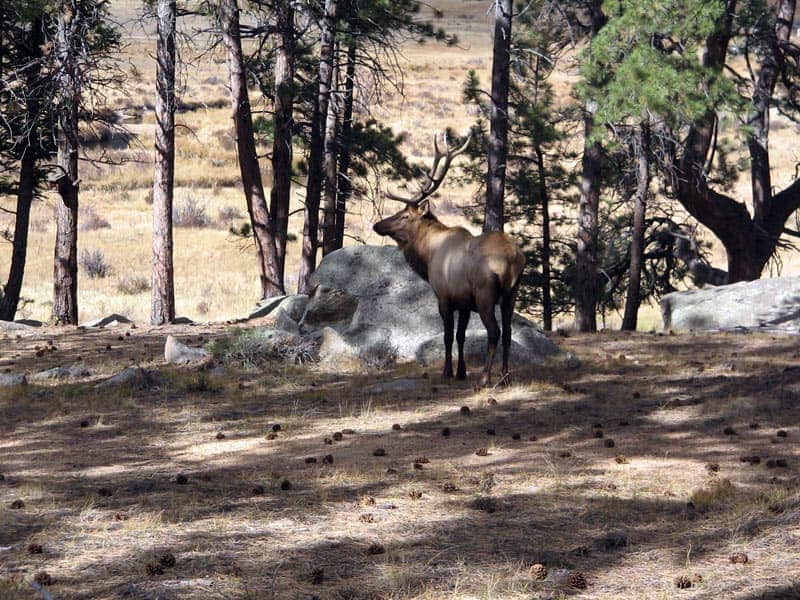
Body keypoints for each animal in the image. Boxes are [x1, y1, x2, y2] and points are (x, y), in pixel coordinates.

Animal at [374, 133, 528, 386]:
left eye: (404, 216)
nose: (377, 225)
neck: (427, 256)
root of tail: (514, 260)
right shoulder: (464, 302)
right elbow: (460, 335)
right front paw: (461, 372)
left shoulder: (444, 297)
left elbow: (447, 335)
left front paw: (447, 371)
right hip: (512, 294)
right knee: (508, 332)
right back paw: (505, 376)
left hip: (485, 294)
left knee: (494, 331)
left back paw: (485, 377)